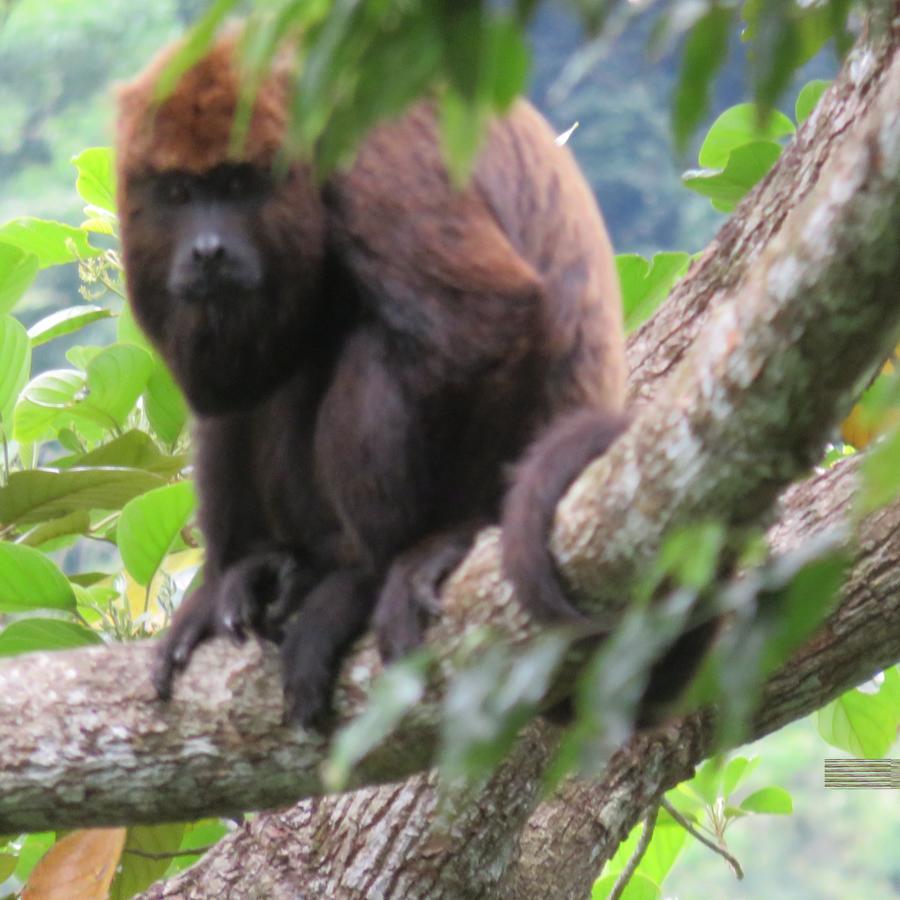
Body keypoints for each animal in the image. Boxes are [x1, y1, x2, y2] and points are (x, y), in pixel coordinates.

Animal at [118, 35, 624, 728]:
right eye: (178, 194)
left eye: (238, 183)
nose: (208, 250)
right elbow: (229, 386)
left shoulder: (371, 148)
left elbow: (488, 318)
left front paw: (449, 538)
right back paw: (248, 572)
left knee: (386, 342)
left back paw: (360, 577)